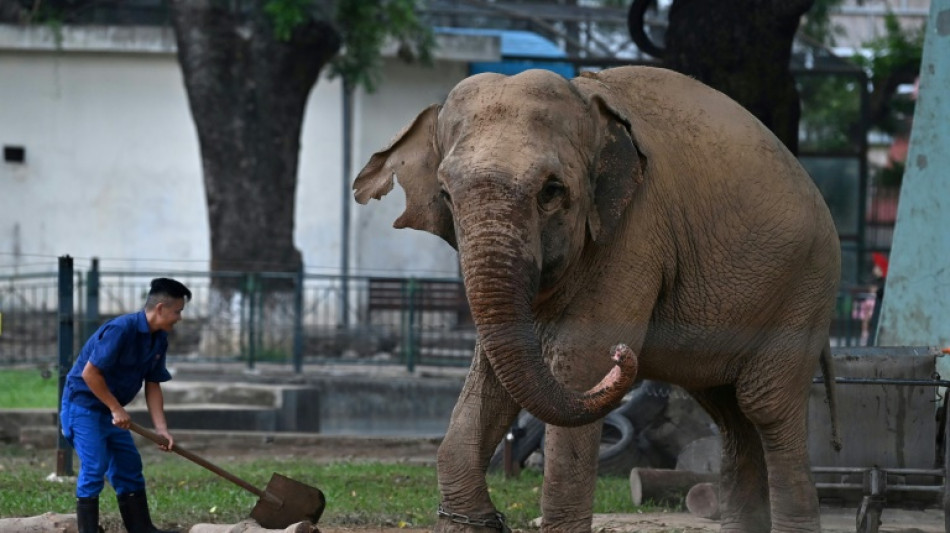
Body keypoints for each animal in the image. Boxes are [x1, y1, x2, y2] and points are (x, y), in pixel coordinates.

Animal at [356, 66, 840, 532]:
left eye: (552, 191)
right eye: (446, 195)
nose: (624, 354)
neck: (587, 100)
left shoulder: (634, 232)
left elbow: (579, 362)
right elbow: (490, 380)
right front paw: (470, 521)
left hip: (806, 289)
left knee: (765, 407)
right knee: (729, 412)